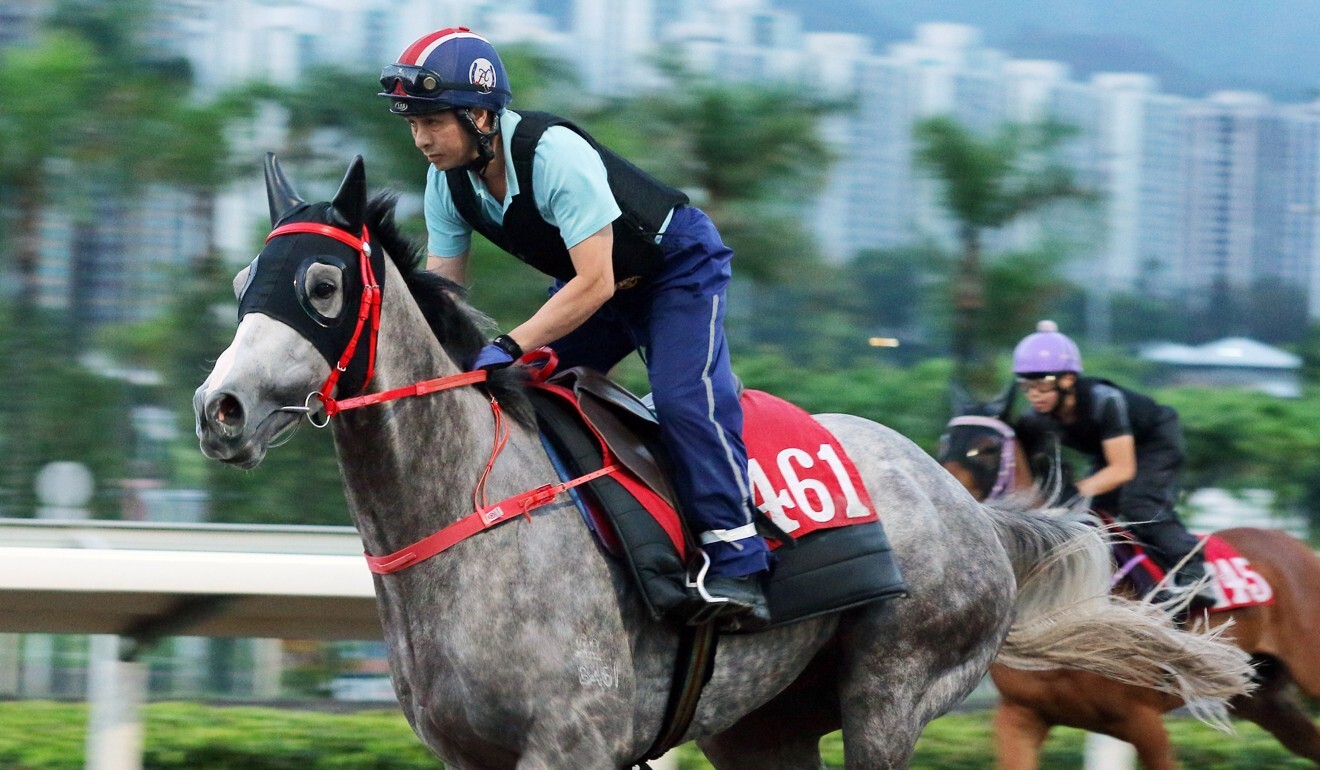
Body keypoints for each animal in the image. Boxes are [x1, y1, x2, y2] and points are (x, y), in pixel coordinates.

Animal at [191, 153, 1251, 766]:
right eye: (245, 279)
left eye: (321, 284)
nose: (219, 410)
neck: (470, 519)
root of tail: (967, 508)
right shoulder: (468, 755)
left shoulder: (573, 745)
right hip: (763, 725)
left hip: (897, 687)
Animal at [939, 398, 1320, 770]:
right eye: (944, 443)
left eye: (986, 448)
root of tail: (1300, 547)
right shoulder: (1021, 716)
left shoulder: (1141, 720)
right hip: (1259, 697)